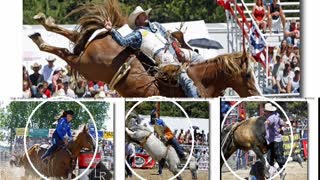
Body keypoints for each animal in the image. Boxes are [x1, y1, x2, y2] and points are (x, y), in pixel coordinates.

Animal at [28, 0, 262, 97]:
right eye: (247, 75)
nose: (256, 94)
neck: (203, 80)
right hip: (87, 66)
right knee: (66, 53)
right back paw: (39, 38)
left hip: (86, 54)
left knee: (75, 38)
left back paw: (43, 24)